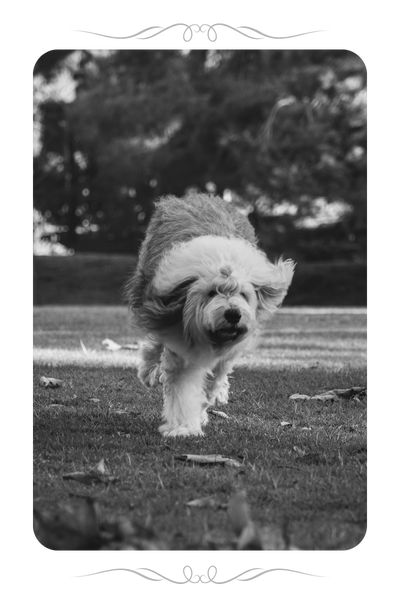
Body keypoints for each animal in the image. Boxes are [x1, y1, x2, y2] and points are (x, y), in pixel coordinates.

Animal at [126, 194, 294, 437]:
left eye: (243, 294)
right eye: (211, 292)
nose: (233, 314)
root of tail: (198, 197)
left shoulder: (228, 351)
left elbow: (213, 379)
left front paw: (202, 409)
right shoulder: (178, 335)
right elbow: (183, 385)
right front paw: (183, 427)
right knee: (156, 337)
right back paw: (149, 370)